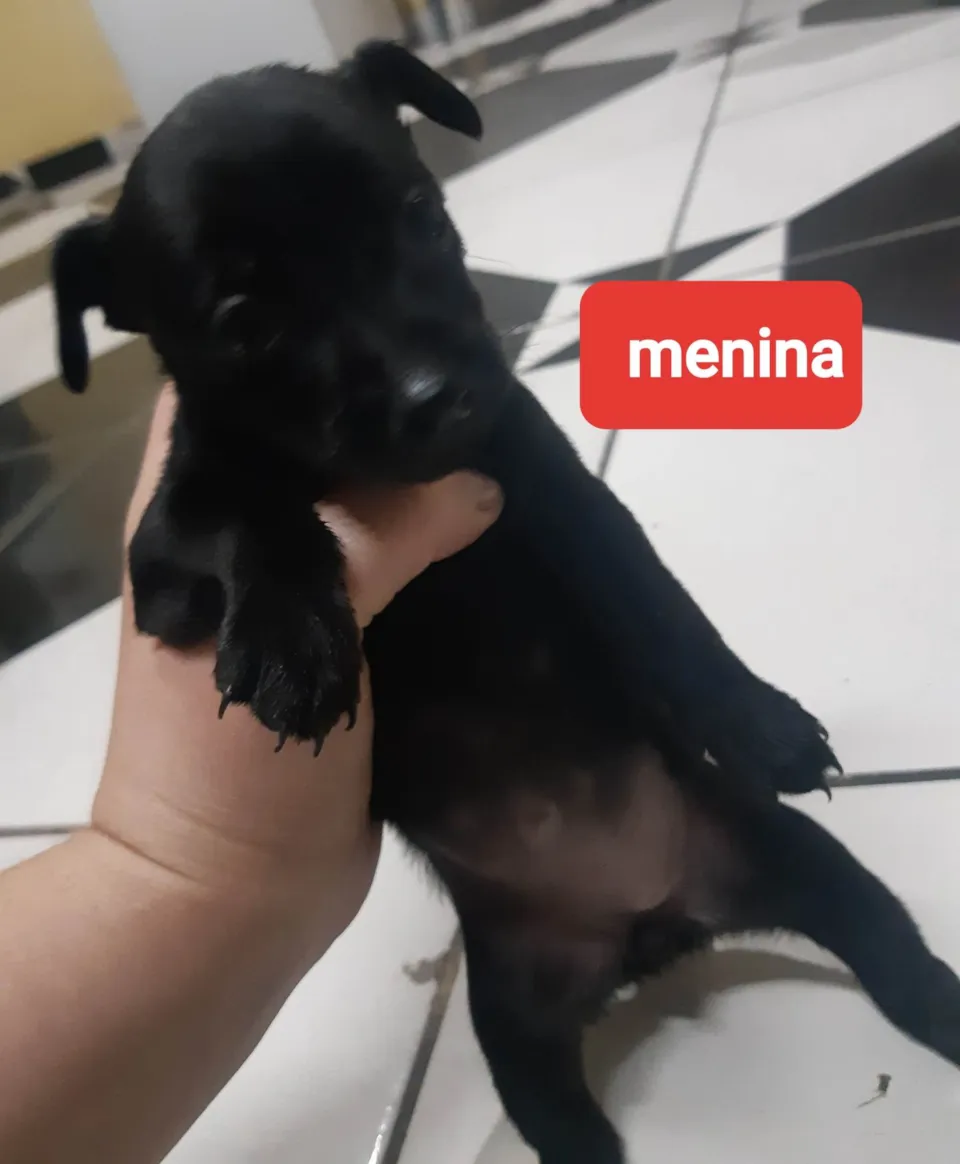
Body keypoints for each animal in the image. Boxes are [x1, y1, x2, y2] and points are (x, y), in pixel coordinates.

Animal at [52, 41, 960, 1164]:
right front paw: (295, 643)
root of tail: (652, 929)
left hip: (802, 865)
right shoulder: (167, 559)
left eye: (420, 215)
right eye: (247, 324)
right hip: (516, 1038)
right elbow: (254, 512)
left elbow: (650, 596)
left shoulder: (542, 467)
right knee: (573, 1130)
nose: (437, 396)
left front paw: (759, 721)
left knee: (898, 959)